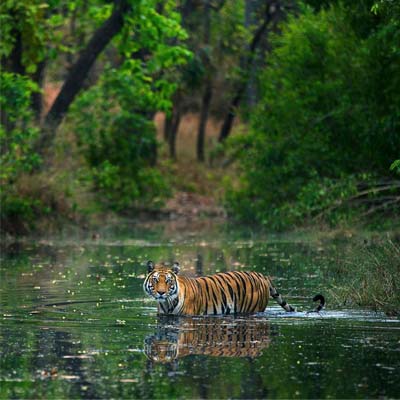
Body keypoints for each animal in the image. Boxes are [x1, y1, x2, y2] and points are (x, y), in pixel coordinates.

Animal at [144, 260, 324, 318]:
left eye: (168, 281)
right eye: (156, 280)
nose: (161, 292)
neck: (167, 303)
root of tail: (262, 275)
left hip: (252, 308)